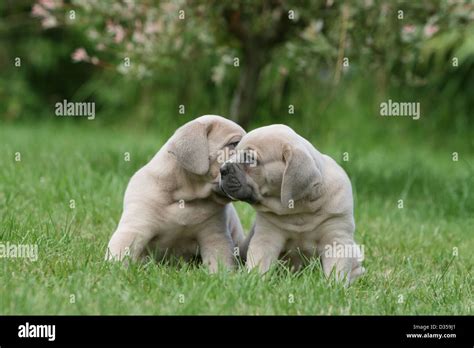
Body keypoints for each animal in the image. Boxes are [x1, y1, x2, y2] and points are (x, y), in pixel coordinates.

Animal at [106, 114, 246, 272]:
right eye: (235, 143)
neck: (186, 196)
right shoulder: (134, 228)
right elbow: (120, 252)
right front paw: (114, 272)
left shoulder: (214, 235)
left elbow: (219, 261)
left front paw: (221, 276)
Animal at [220, 124, 364, 282]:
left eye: (250, 159)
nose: (222, 170)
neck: (298, 209)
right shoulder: (266, 236)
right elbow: (259, 261)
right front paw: (254, 281)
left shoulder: (336, 238)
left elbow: (336, 270)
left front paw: (334, 286)